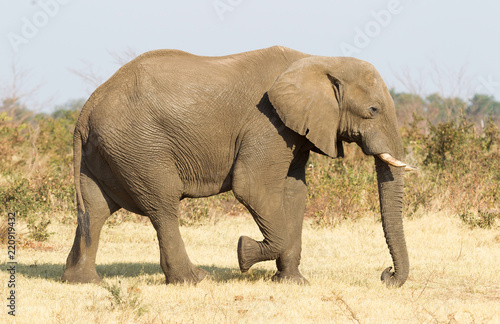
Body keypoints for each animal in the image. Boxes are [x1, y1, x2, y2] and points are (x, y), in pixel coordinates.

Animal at [61, 45, 414, 286]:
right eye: (373, 110)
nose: (385, 274)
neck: (318, 59)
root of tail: (87, 108)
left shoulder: (292, 130)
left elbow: (294, 191)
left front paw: (292, 282)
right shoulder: (267, 122)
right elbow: (252, 187)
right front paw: (244, 253)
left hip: (107, 149)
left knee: (95, 209)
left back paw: (82, 281)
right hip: (139, 145)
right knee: (162, 205)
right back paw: (194, 279)